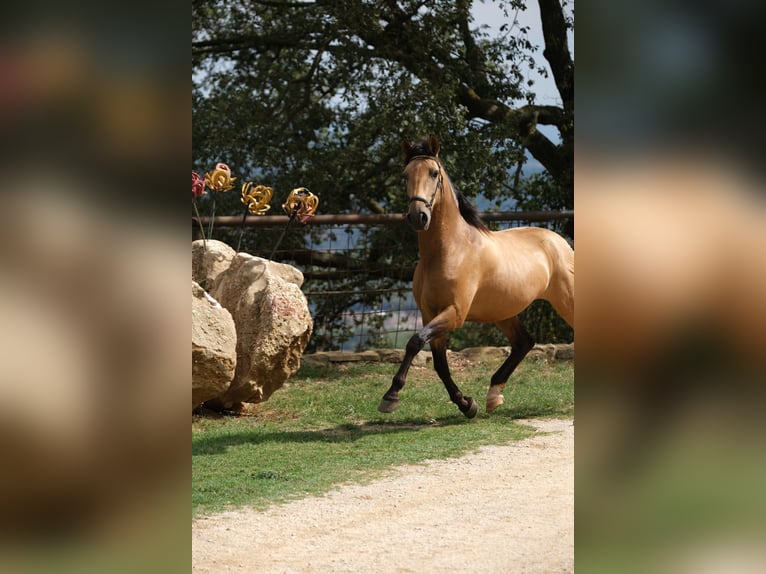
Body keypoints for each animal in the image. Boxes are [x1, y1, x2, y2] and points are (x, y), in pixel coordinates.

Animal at [380, 137, 576, 420]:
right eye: (405, 175)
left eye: (434, 173)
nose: (418, 216)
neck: (447, 251)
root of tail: (559, 241)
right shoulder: (430, 314)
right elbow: (440, 364)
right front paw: (466, 404)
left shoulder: (455, 313)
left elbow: (415, 342)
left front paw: (391, 396)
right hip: (503, 311)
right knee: (524, 343)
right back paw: (493, 396)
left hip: (565, 300)